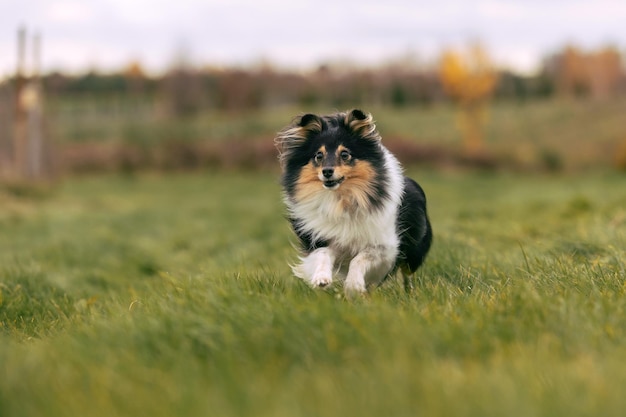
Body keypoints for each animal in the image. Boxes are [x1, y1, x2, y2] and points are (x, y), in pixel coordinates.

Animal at [276, 109, 432, 294]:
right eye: (318, 156)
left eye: (345, 154)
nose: (327, 171)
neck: (342, 200)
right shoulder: (319, 239)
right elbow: (323, 254)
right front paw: (321, 279)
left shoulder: (384, 246)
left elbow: (358, 259)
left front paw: (354, 285)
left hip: (414, 251)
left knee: (407, 272)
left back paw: (409, 292)